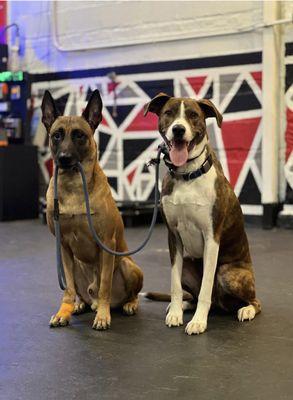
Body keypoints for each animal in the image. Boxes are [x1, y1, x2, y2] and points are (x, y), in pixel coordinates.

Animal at [42, 90, 143, 332]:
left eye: (79, 135)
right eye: (57, 135)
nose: (64, 158)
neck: (73, 187)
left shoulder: (107, 243)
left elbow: (104, 284)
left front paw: (103, 317)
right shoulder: (63, 247)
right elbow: (68, 288)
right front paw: (64, 312)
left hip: (128, 266)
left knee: (126, 294)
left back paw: (125, 305)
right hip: (76, 267)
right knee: (81, 293)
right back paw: (80, 304)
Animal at [144, 93, 260, 334]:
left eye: (193, 115)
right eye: (168, 113)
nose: (178, 129)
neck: (187, 174)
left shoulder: (211, 237)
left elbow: (206, 285)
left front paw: (198, 321)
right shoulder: (173, 237)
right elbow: (175, 284)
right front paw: (176, 312)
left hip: (228, 273)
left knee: (252, 301)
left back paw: (246, 310)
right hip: (188, 263)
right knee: (195, 295)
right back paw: (183, 305)